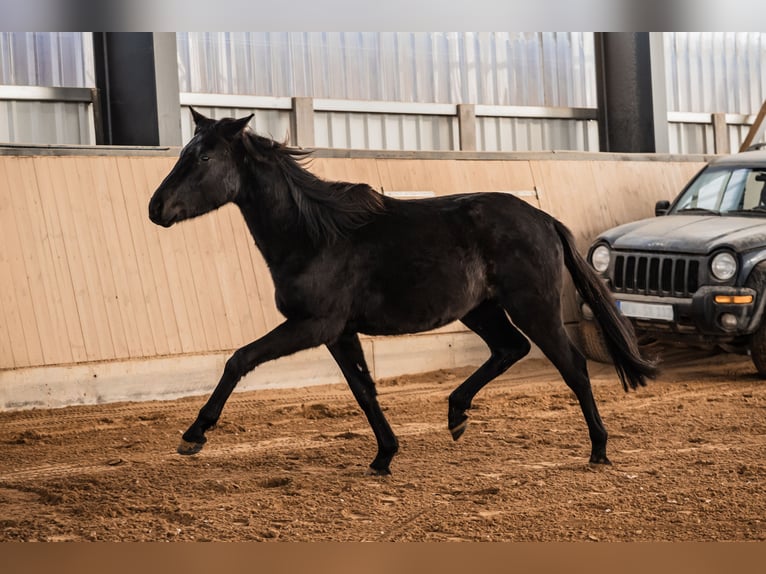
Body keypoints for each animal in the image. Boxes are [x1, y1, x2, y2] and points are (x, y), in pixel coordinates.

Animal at [148, 108, 657, 475]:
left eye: (205, 158)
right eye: (185, 153)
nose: (155, 208)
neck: (316, 236)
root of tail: (544, 219)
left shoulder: (314, 325)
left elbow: (239, 360)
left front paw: (194, 435)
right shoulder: (338, 332)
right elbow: (363, 388)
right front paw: (384, 456)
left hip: (535, 307)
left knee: (572, 367)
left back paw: (598, 450)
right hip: (481, 310)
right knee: (509, 348)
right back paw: (456, 414)